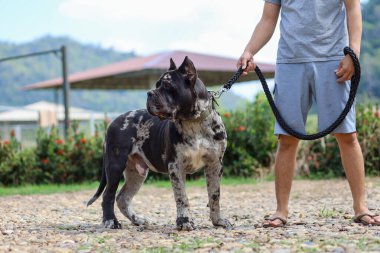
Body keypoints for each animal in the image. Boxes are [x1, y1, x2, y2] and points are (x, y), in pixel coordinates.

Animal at [87, 56, 232, 230]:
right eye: (156, 85)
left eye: (167, 85)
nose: (149, 93)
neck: (194, 121)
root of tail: (114, 122)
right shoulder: (176, 165)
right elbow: (181, 196)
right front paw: (184, 221)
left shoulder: (215, 164)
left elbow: (214, 195)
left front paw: (218, 221)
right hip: (115, 165)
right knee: (108, 195)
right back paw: (111, 221)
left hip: (136, 173)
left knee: (123, 198)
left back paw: (138, 220)